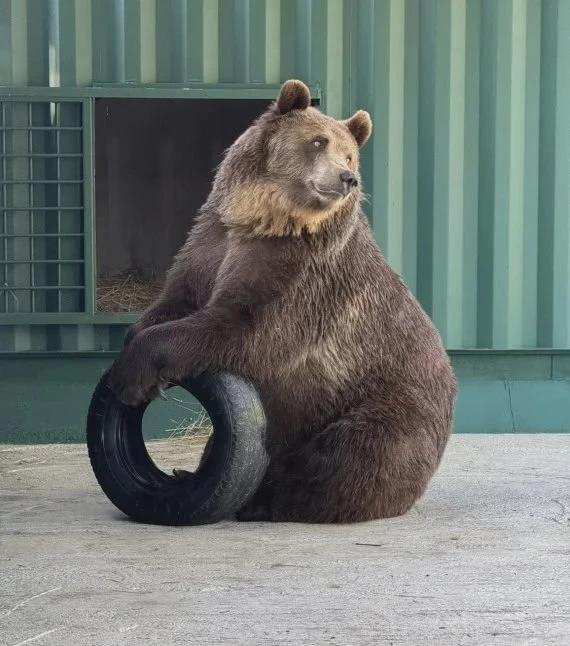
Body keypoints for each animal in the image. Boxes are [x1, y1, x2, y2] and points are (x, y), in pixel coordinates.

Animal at [108, 79, 457, 524]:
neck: (263, 220)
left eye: (349, 154)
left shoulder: (300, 276)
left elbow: (245, 328)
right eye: (318, 141)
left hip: (384, 403)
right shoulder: (210, 243)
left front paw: (133, 374)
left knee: (349, 456)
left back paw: (268, 498)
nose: (347, 177)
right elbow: (177, 297)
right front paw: (135, 340)